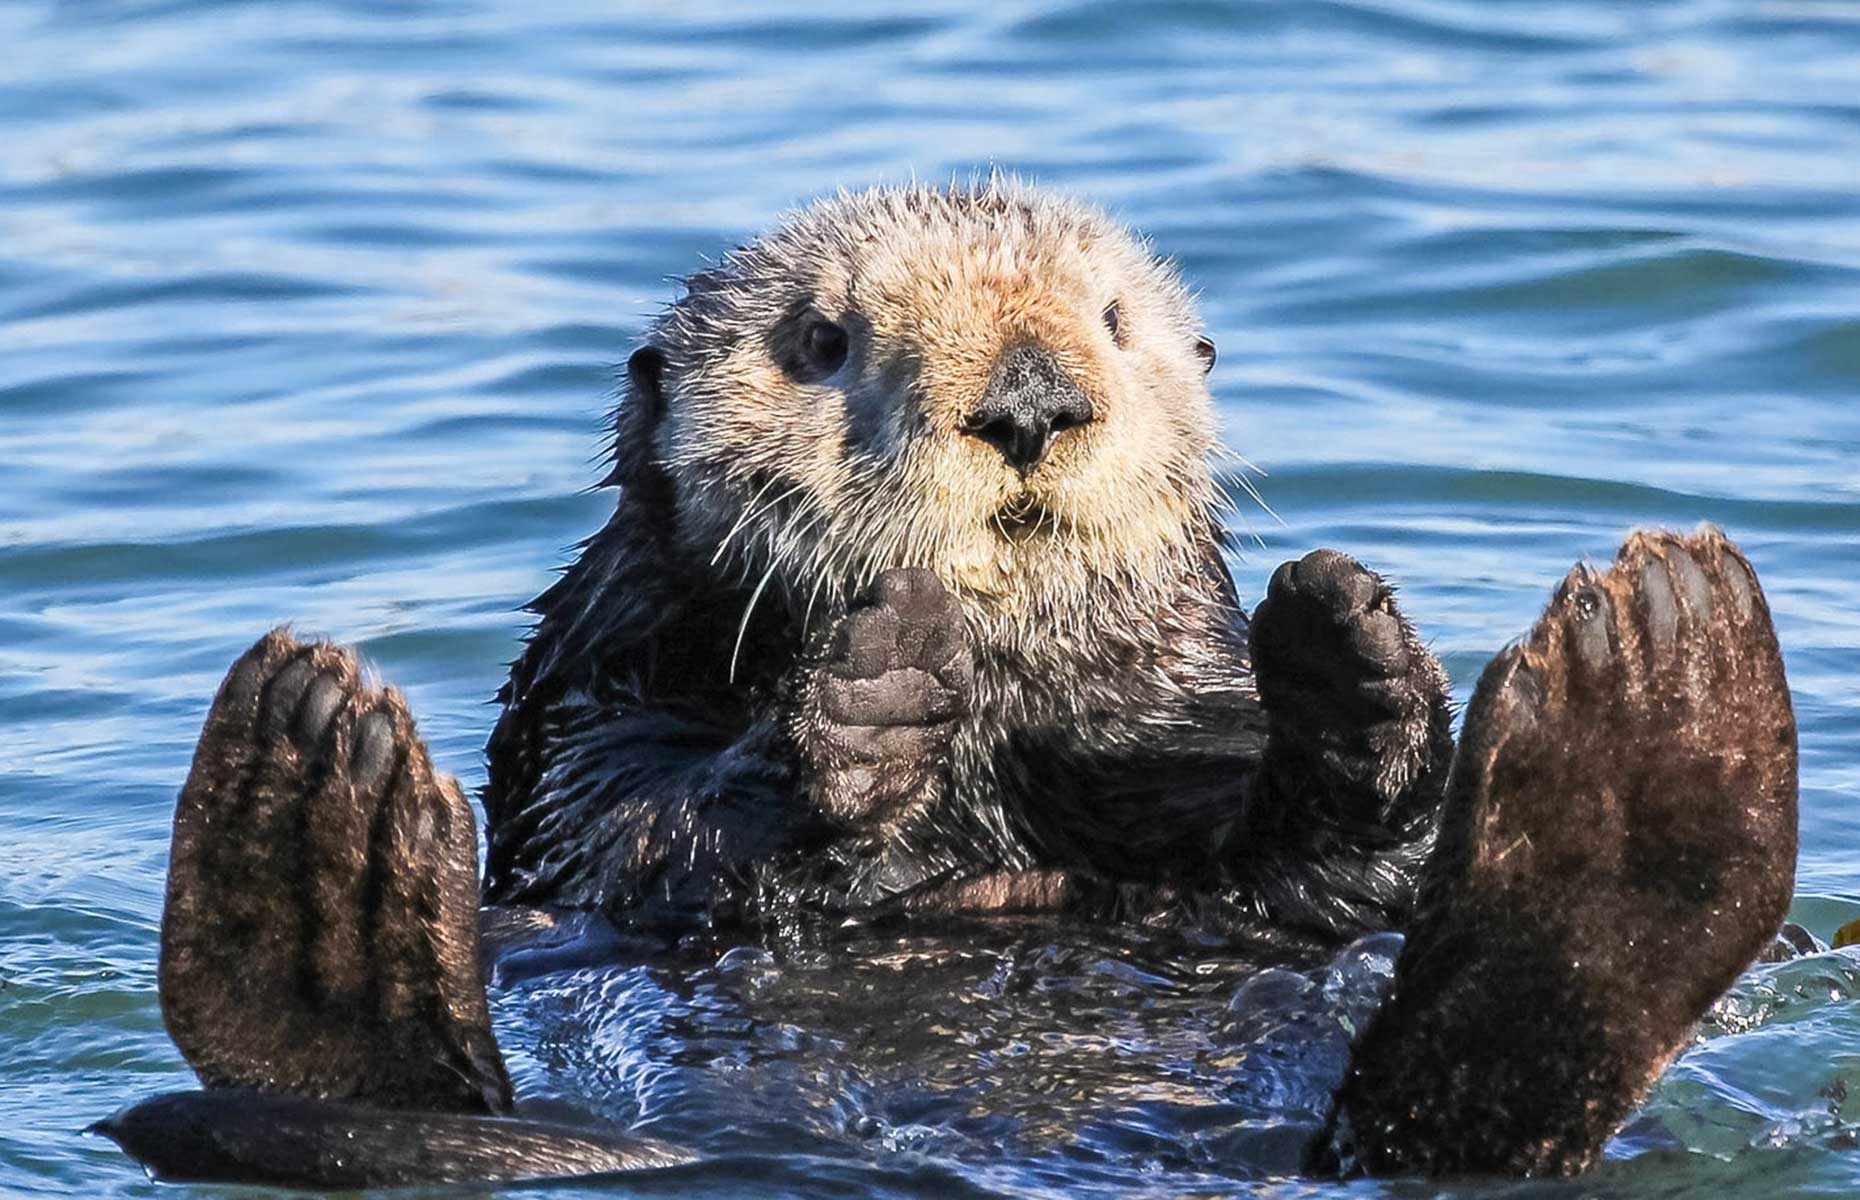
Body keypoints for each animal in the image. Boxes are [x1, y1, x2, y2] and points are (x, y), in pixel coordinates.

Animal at [94, 182, 1793, 1183]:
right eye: (820, 340)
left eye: (1114, 322)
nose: (1032, 402)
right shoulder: (589, 689)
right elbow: (627, 829)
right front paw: (859, 708)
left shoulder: (1161, 722)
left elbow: (1300, 853)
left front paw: (1349, 659)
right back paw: (320, 822)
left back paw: (1640, 746)